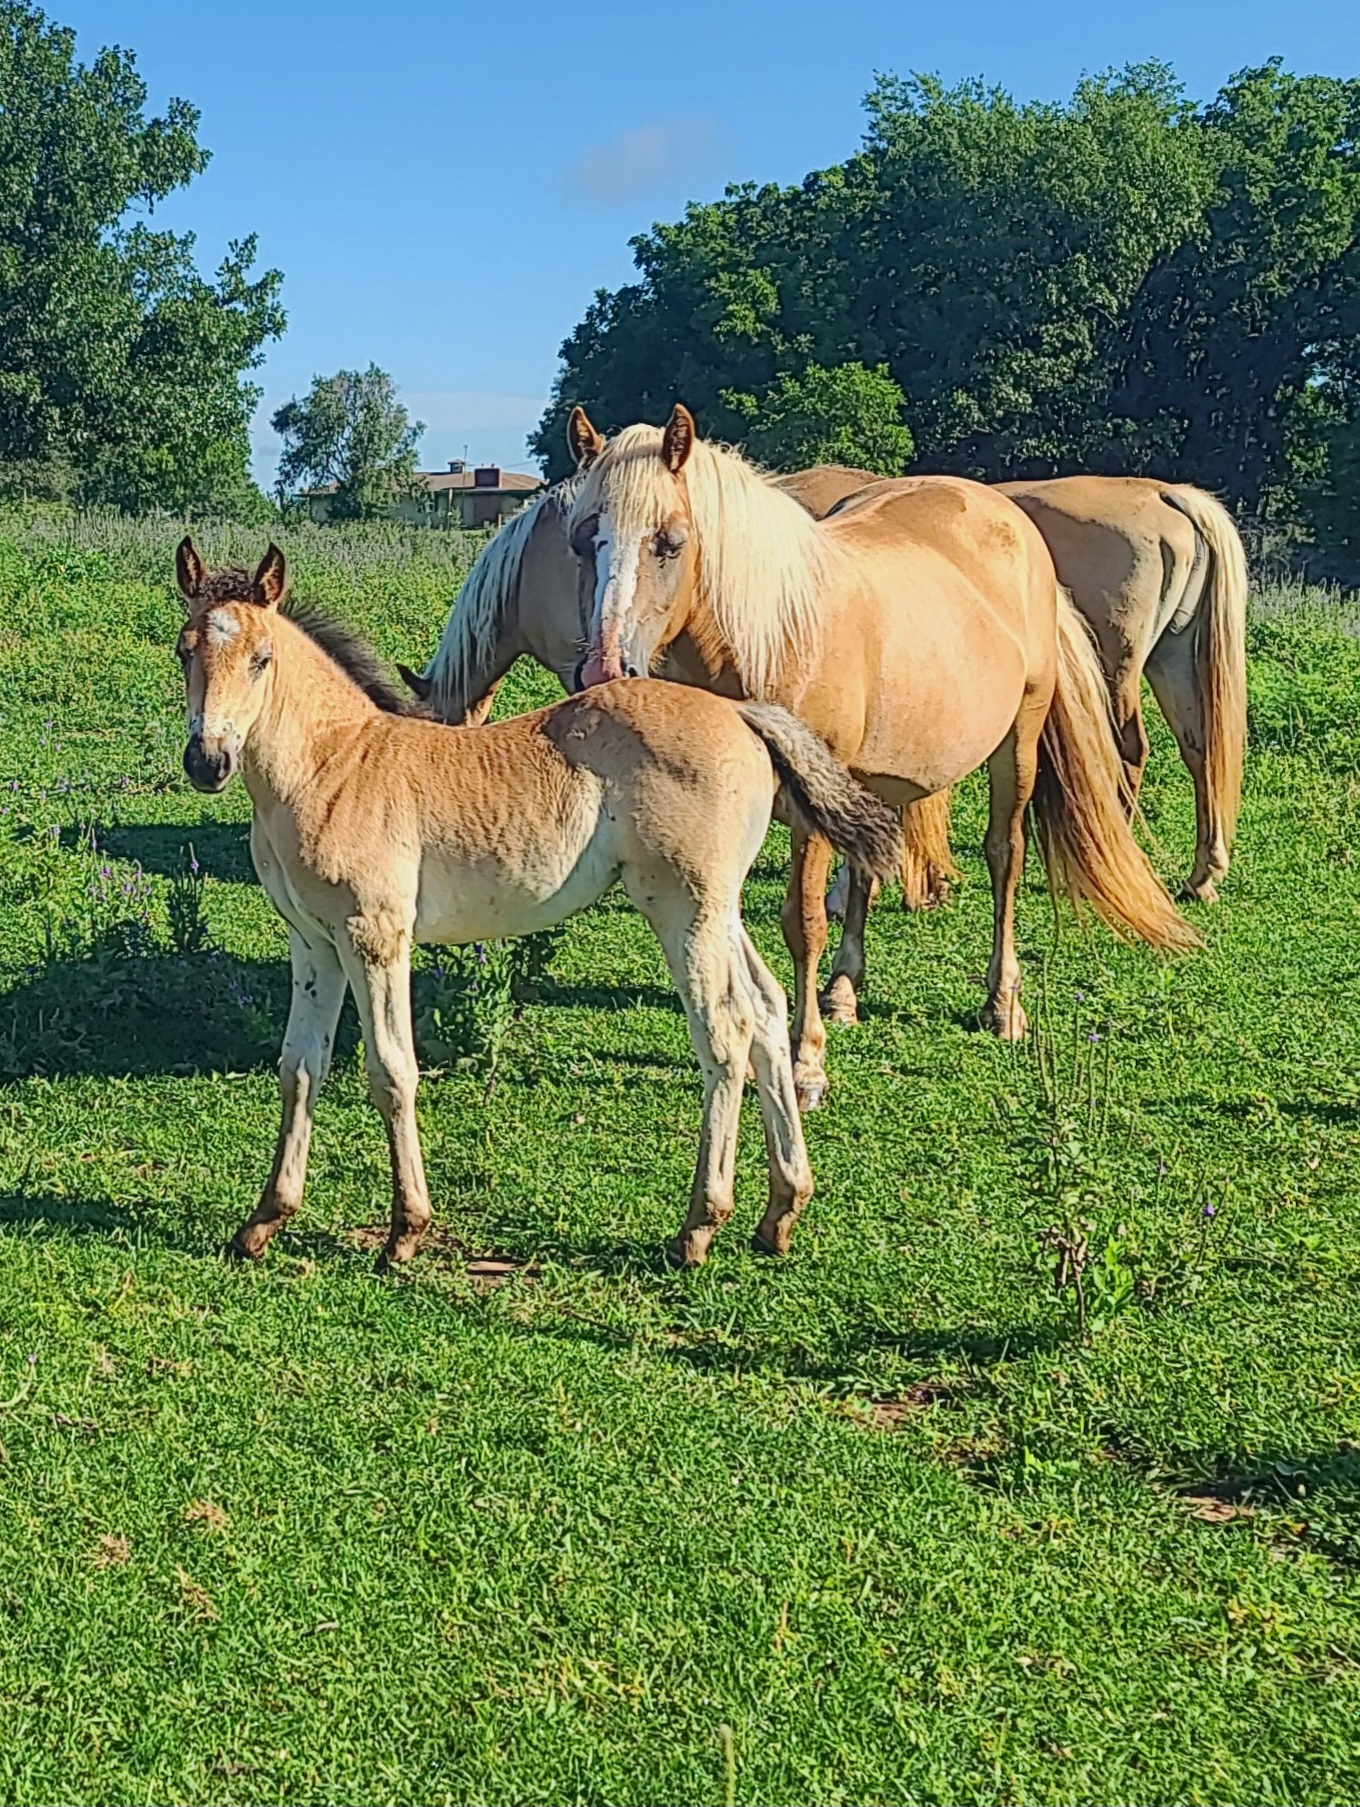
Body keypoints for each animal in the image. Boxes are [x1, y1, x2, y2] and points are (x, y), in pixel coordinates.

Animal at [172, 539, 900, 1269]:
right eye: (184, 650)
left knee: (725, 1031)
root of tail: (741, 713)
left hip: (682, 909)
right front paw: (263, 1220)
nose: (208, 761)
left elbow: (392, 1071)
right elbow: (300, 1067)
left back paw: (698, 1226)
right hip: (717, 910)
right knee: (767, 1008)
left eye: (262, 659)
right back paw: (781, 1211)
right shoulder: (314, 943)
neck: (335, 765)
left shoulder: (374, 935)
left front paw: (405, 1230)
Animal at [567, 405, 1199, 1107]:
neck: (776, 639)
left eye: (670, 542)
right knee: (870, 870)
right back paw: (845, 991)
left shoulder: (808, 816)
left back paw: (1001, 1003)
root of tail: (1012, 523)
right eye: (580, 541)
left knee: (1005, 854)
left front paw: (806, 1063)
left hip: (1019, 742)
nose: (603, 669)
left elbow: (803, 920)